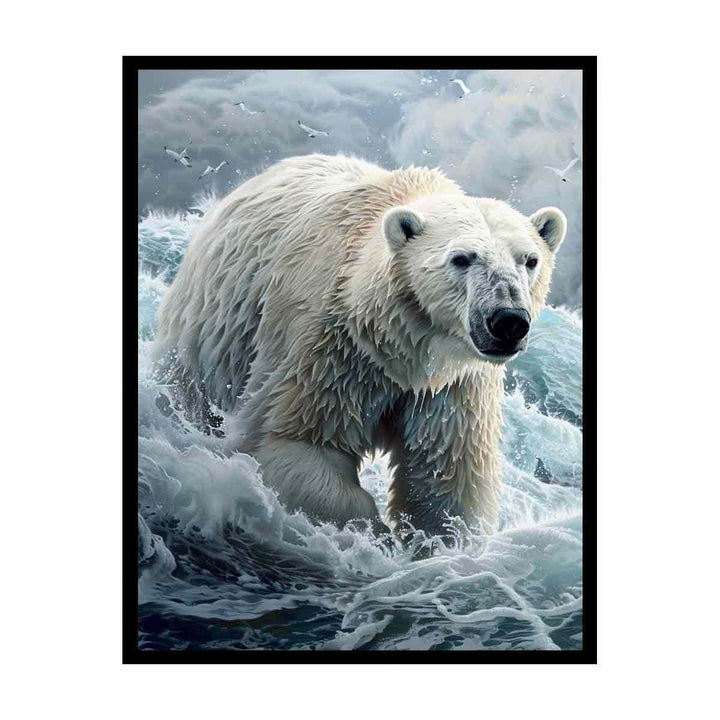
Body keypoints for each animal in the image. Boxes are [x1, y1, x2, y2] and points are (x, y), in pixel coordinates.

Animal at [154, 153, 566, 539]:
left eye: (530, 260)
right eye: (461, 258)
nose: (508, 321)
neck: (401, 346)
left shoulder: (453, 385)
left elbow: (446, 478)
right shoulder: (329, 349)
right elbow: (296, 442)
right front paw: (375, 535)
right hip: (212, 330)